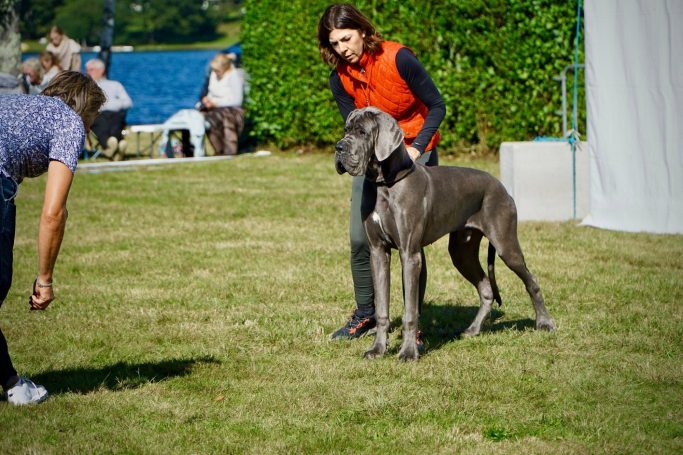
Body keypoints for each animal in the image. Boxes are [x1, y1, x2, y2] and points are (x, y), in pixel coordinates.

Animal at [336, 107, 556, 360]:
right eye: (346, 130)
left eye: (362, 132)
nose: (339, 147)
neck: (385, 184)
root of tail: (500, 185)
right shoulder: (378, 252)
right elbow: (382, 308)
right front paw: (377, 349)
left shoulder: (409, 254)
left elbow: (410, 311)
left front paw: (408, 352)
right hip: (461, 252)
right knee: (486, 288)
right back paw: (473, 329)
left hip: (505, 244)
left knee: (531, 281)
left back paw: (545, 322)